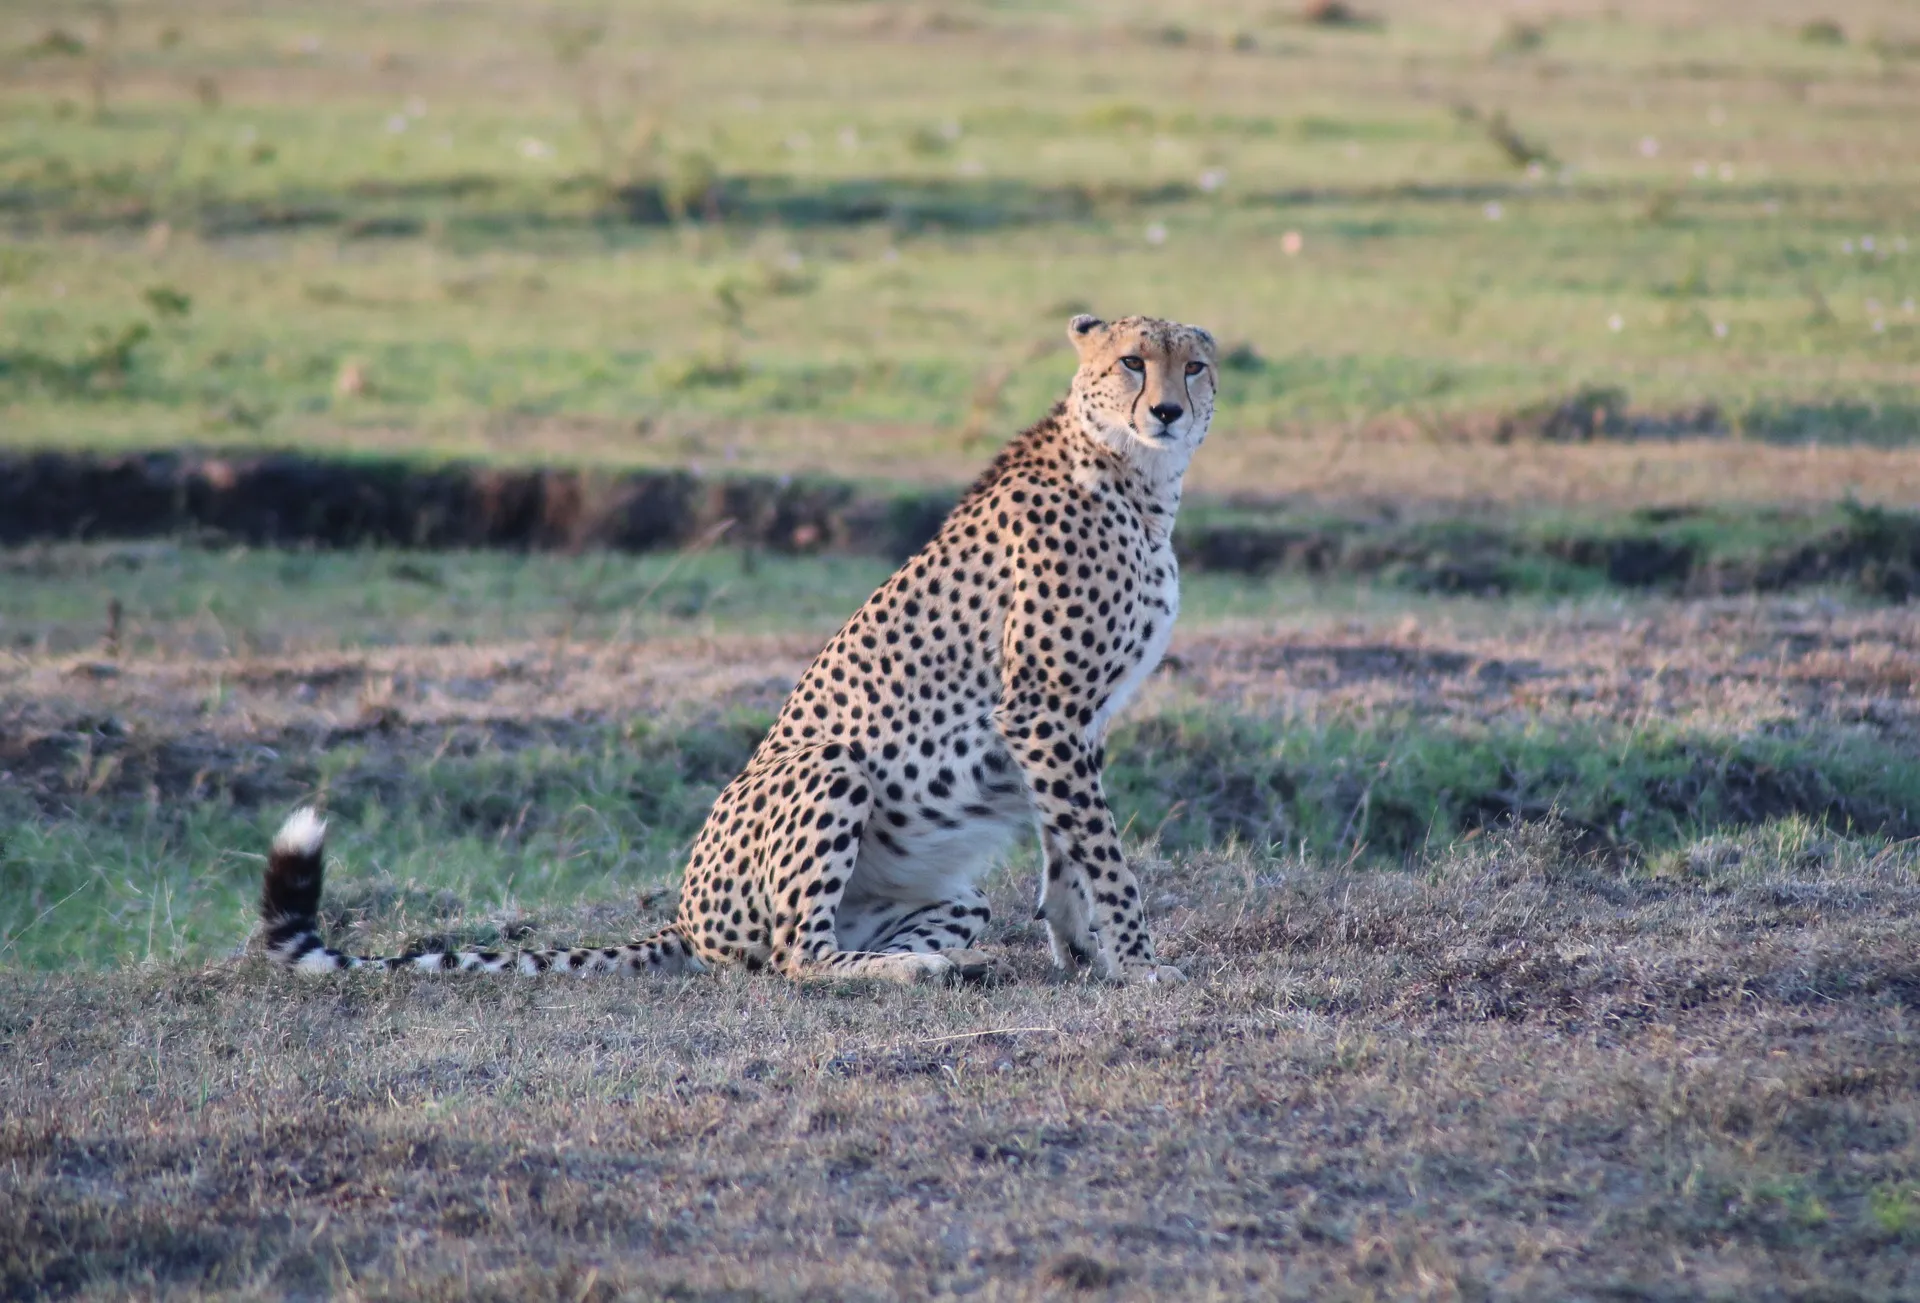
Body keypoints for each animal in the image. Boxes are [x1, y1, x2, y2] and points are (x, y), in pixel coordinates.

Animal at [263, 316, 1213, 982]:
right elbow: (1103, 851)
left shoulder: (1071, 721)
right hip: (830, 764)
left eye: (1193, 364)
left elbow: (1068, 848)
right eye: (1133, 362)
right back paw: (922, 969)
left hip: (951, 891)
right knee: (795, 957)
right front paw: (1140, 960)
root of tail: (684, 916)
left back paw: (948, 958)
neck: (1137, 480)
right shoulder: (1042, 709)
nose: (1168, 409)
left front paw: (1085, 951)